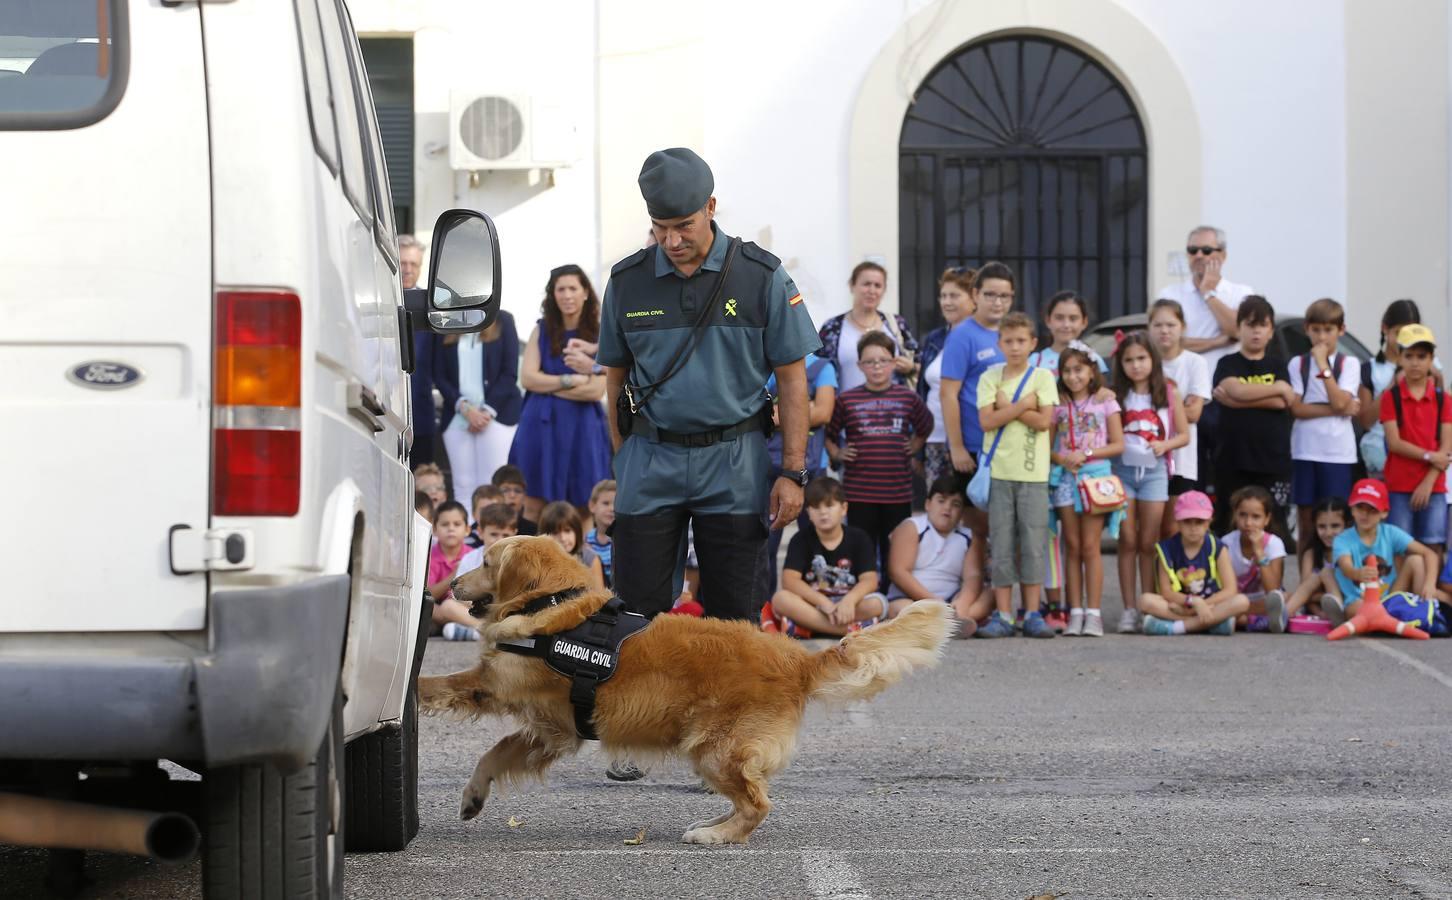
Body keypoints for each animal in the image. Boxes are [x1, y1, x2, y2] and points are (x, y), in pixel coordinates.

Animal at [421, 534, 952, 841]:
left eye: (487, 562)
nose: (449, 586)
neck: (551, 601)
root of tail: (797, 658)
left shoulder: (494, 685)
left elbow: (437, 684)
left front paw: (414, 689)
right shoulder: (553, 731)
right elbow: (493, 755)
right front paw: (473, 797)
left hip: (714, 750)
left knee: (759, 804)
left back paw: (714, 836)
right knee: (751, 797)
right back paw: (712, 824)